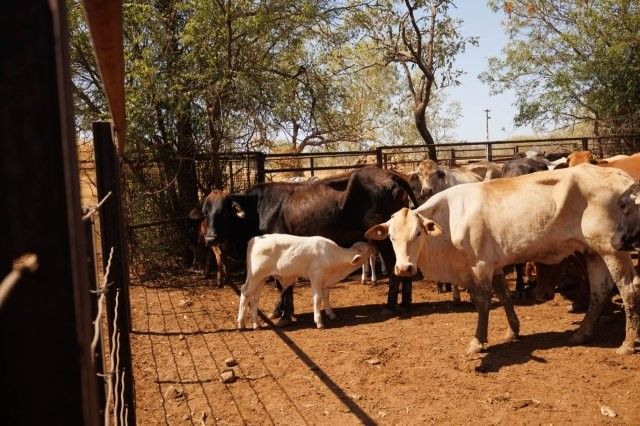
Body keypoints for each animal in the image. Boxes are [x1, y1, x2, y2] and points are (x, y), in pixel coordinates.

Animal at [237, 235, 374, 329]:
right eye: (368, 250)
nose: (374, 247)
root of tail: (255, 239)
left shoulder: (325, 280)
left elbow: (326, 296)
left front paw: (331, 314)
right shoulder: (316, 276)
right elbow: (317, 298)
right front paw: (319, 322)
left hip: (261, 278)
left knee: (255, 297)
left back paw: (256, 324)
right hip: (255, 275)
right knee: (245, 292)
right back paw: (241, 323)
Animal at [366, 164, 640, 355]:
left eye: (418, 233)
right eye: (391, 237)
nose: (404, 268)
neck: (450, 218)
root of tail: (622, 177)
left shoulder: (480, 266)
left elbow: (483, 303)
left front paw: (478, 341)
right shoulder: (494, 265)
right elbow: (505, 296)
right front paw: (513, 330)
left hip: (613, 249)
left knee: (628, 288)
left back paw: (627, 344)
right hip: (593, 251)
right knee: (599, 291)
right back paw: (582, 333)